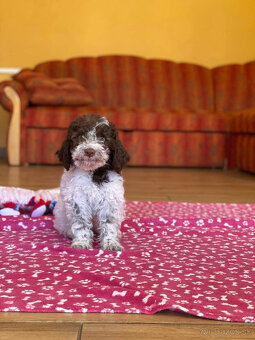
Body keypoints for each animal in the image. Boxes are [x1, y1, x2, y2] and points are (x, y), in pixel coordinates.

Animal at [53, 114, 129, 250]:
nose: (89, 151)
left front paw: (111, 243)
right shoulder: (78, 199)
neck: (92, 172)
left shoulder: (110, 199)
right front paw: (81, 242)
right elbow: (81, 222)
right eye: (79, 136)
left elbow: (109, 223)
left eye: (102, 138)